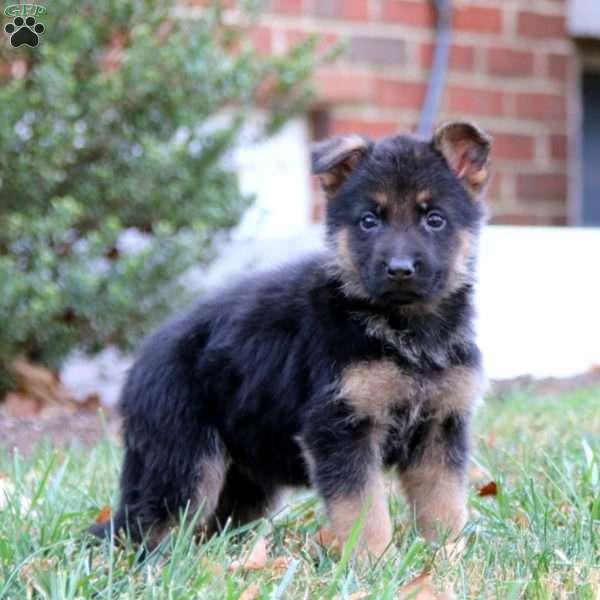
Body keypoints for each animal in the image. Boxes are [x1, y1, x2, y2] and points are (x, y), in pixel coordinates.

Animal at [90, 119, 492, 556]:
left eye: (434, 219)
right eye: (369, 221)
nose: (400, 270)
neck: (405, 329)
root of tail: (136, 372)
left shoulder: (440, 430)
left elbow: (443, 506)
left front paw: (447, 558)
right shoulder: (339, 429)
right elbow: (364, 511)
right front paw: (375, 562)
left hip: (246, 480)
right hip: (186, 465)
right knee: (152, 531)